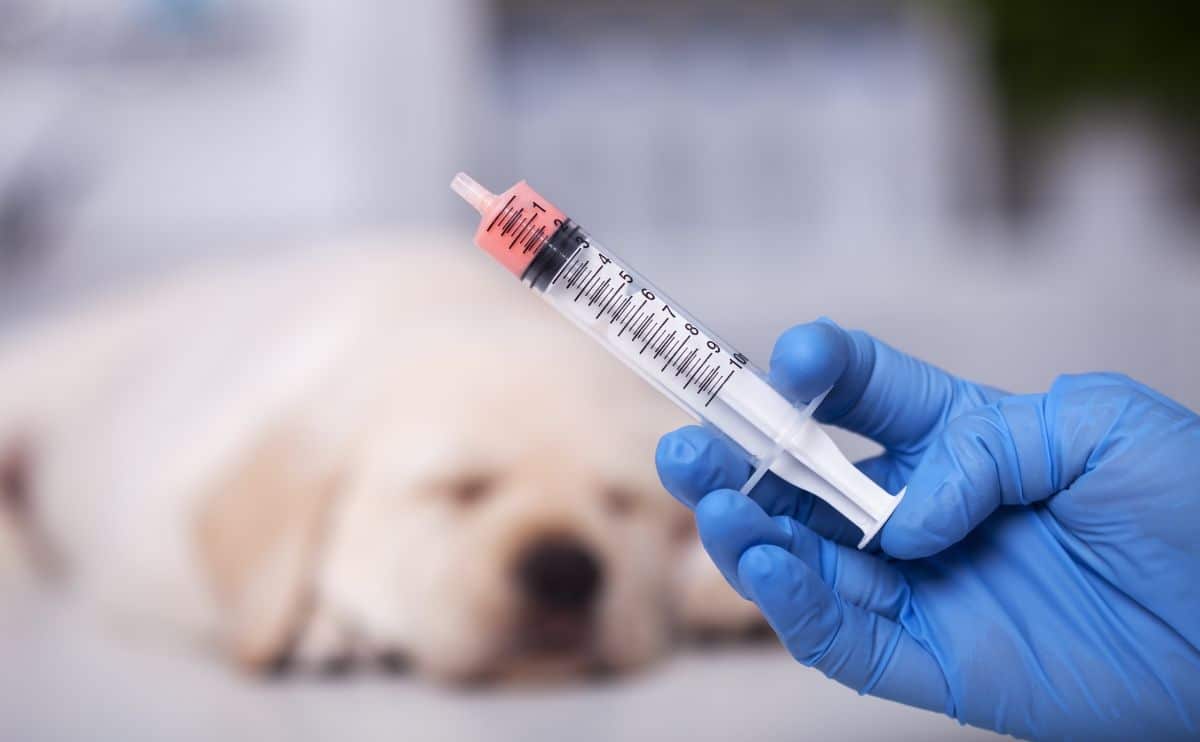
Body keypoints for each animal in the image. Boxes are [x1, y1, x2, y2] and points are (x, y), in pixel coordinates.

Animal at [0, 236, 763, 681]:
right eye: (458, 488)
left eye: (619, 501)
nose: (565, 571)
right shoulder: (145, 541)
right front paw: (327, 627)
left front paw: (721, 581)